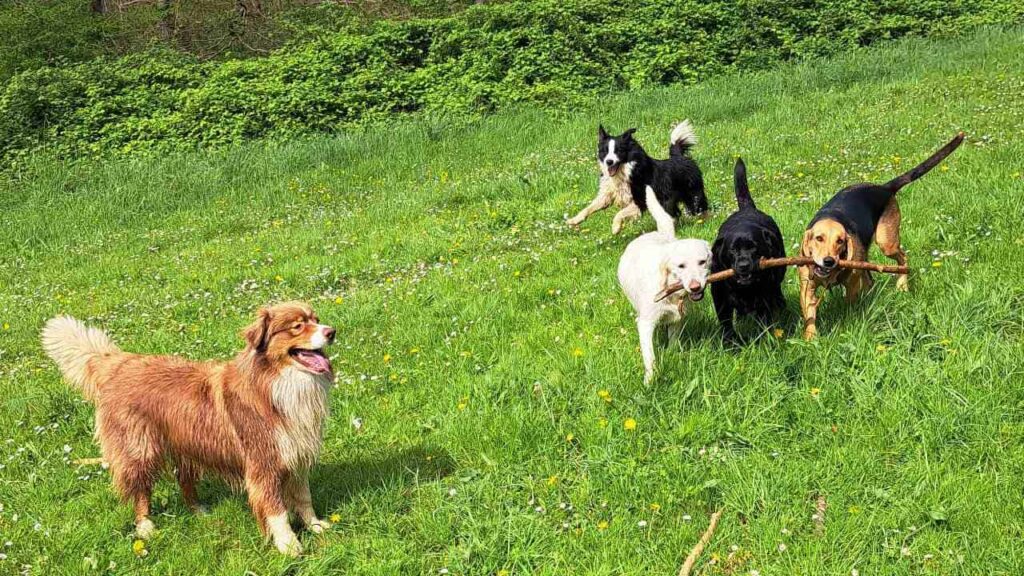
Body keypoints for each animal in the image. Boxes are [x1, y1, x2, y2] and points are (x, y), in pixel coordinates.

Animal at [41, 303, 335, 553]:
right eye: (297, 326)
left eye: (316, 319)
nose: (331, 332)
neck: (279, 383)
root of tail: (119, 362)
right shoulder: (264, 463)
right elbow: (277, 510)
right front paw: (288, 545)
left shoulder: (297, 454)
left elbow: (303, 497)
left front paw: (315, 525)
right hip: (140, 448)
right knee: (141, 489)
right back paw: (145, 526)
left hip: (188, 443)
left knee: (183, 478)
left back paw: (199, 510)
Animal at [565, 120, 708, 235]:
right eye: (605, 151)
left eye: (618, 151)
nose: (609, 162)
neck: (623, 172)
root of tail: (680, 157)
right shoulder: (606, 195)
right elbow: (589, 208)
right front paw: (573, 220)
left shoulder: (639, 200)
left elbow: (619, 214)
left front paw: (615, 228)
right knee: (674, 213)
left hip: (693, 194)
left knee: (700, 207)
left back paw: (704, 221)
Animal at [614, 224, 712, 381]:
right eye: (681, 266)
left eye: (702, 262)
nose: (695, 287)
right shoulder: (646, 323)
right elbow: (649, 356)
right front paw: (650, 380)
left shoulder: (677, 318)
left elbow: (673, 341)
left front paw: (672, 355)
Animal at [798, 132, 958, 338]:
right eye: (819, 238)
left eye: (840, 241)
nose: (828, 261)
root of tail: (883, 188)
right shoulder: (807, 287)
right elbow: (810, 316)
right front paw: (811, 339)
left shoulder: (852, 283)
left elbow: (849, 304)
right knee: (871, 278)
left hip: (886, 242)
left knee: (902, 258)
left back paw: (902, 286)